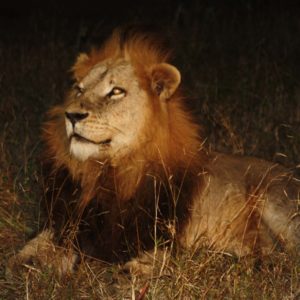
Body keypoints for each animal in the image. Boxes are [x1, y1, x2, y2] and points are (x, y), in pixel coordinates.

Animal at [7, 27, 300, 276]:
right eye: (79, 89)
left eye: (116, 91)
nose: (72, 115)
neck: (106, 170)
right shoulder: (68, 221)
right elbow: (31, 248)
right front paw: (25, 262)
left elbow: (156, 253)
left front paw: (137, 268)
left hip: (275, 199)